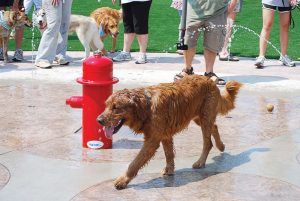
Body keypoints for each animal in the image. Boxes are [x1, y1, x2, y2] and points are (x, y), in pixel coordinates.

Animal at [97, 74, 243, 189]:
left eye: (116, 108)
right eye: (106, 106)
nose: (99, 120)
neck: (146, 106)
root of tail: (210, 80)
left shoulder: (152, 140)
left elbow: (135, 162)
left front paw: (123, 180)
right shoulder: (165, 135)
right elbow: (169, 154)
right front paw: (170, 170)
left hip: (204, 117)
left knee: (208, 143)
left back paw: (201, 162)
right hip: (199, 118)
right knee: (215, 127)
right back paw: (221, 145)